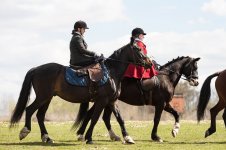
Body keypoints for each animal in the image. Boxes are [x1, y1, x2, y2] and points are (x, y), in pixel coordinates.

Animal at [9, 43, 150, 144]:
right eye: (139, 49)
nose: (148, 63)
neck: (111, 72)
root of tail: (36, 69)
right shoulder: (102, 101)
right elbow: (94, 118)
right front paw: (89, 138)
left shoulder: (112, 101)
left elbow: (120, 119)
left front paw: (128, 138)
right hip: (43, 97)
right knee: (29, 110)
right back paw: (25, 131)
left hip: (47, 98)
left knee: (40, 115)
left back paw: (47, 138)